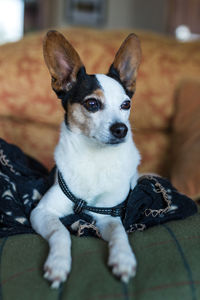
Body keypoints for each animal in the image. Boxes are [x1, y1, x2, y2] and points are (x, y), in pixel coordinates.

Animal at [29, 30, 142, 288]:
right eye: (92, 104)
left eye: (126, 104)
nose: (122, 129)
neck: (95, 158)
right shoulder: (42, 212)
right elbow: (60, 231)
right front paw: (59, 262)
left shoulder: (107, 216)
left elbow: (120, 233)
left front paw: (123, 258)